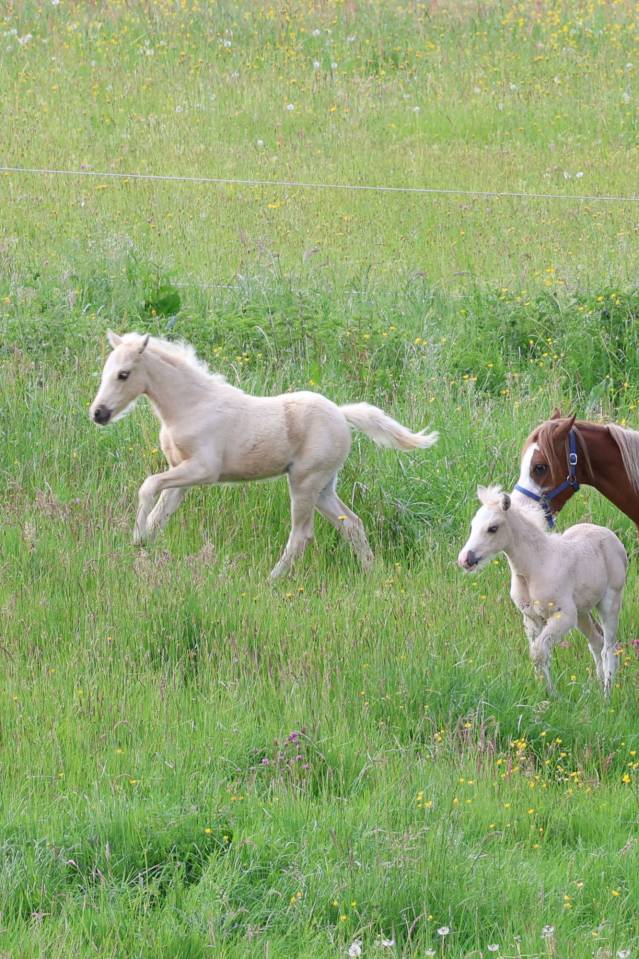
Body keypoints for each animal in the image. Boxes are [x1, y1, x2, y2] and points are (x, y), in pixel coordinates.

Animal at [89, 331, 438, 579]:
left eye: (123, 374)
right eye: (104, 372)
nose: (98, 413)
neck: (191, 406)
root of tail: (341, 414)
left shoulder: (204, 470)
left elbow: (147, 485)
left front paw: (137, 538)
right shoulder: (181, 474)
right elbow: (161, 512)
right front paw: (142, 544)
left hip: (304, 483)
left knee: (302, 534)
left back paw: (272, 579)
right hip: (324, 487)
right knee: (352, 524)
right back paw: (371, 572)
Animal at [458, 486, 627, 695]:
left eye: (493, 528)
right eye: (473, 526)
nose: (465, 559)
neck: (536, 565)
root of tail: (612, 537)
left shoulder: (564, 616)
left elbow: (539, 652)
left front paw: (552, 695)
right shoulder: (531, 618)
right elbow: (536, 654)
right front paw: (544, 692)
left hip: (610, 600)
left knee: (608, 647)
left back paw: (607, 695)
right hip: (581, 612)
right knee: (596, 641)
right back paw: (597, 689)